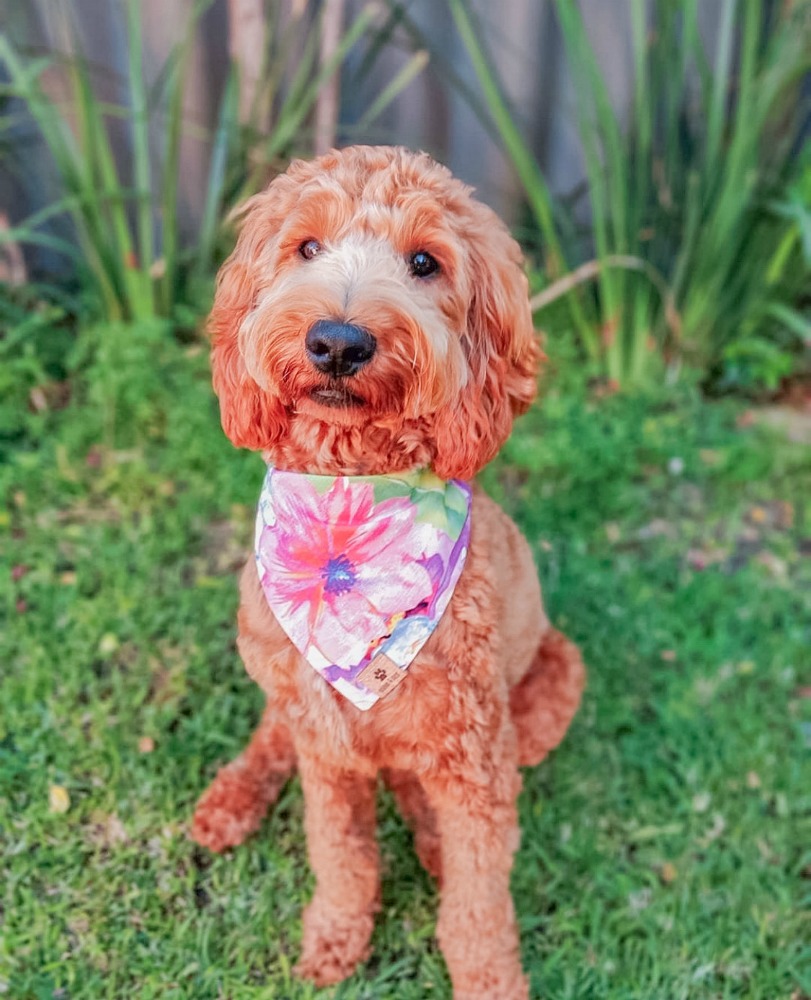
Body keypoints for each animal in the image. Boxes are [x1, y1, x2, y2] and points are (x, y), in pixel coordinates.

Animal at [193, 143, 588, 1000]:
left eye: (424, 262)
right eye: (305, 247)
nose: (337, 342)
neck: (349, 491)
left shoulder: (475, 760)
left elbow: (478, 903)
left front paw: (489, 980)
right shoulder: (327, 750)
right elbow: (341, 855)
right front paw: (335, 935)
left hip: (546, 692)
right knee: (276, 725)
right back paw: (232, 798)